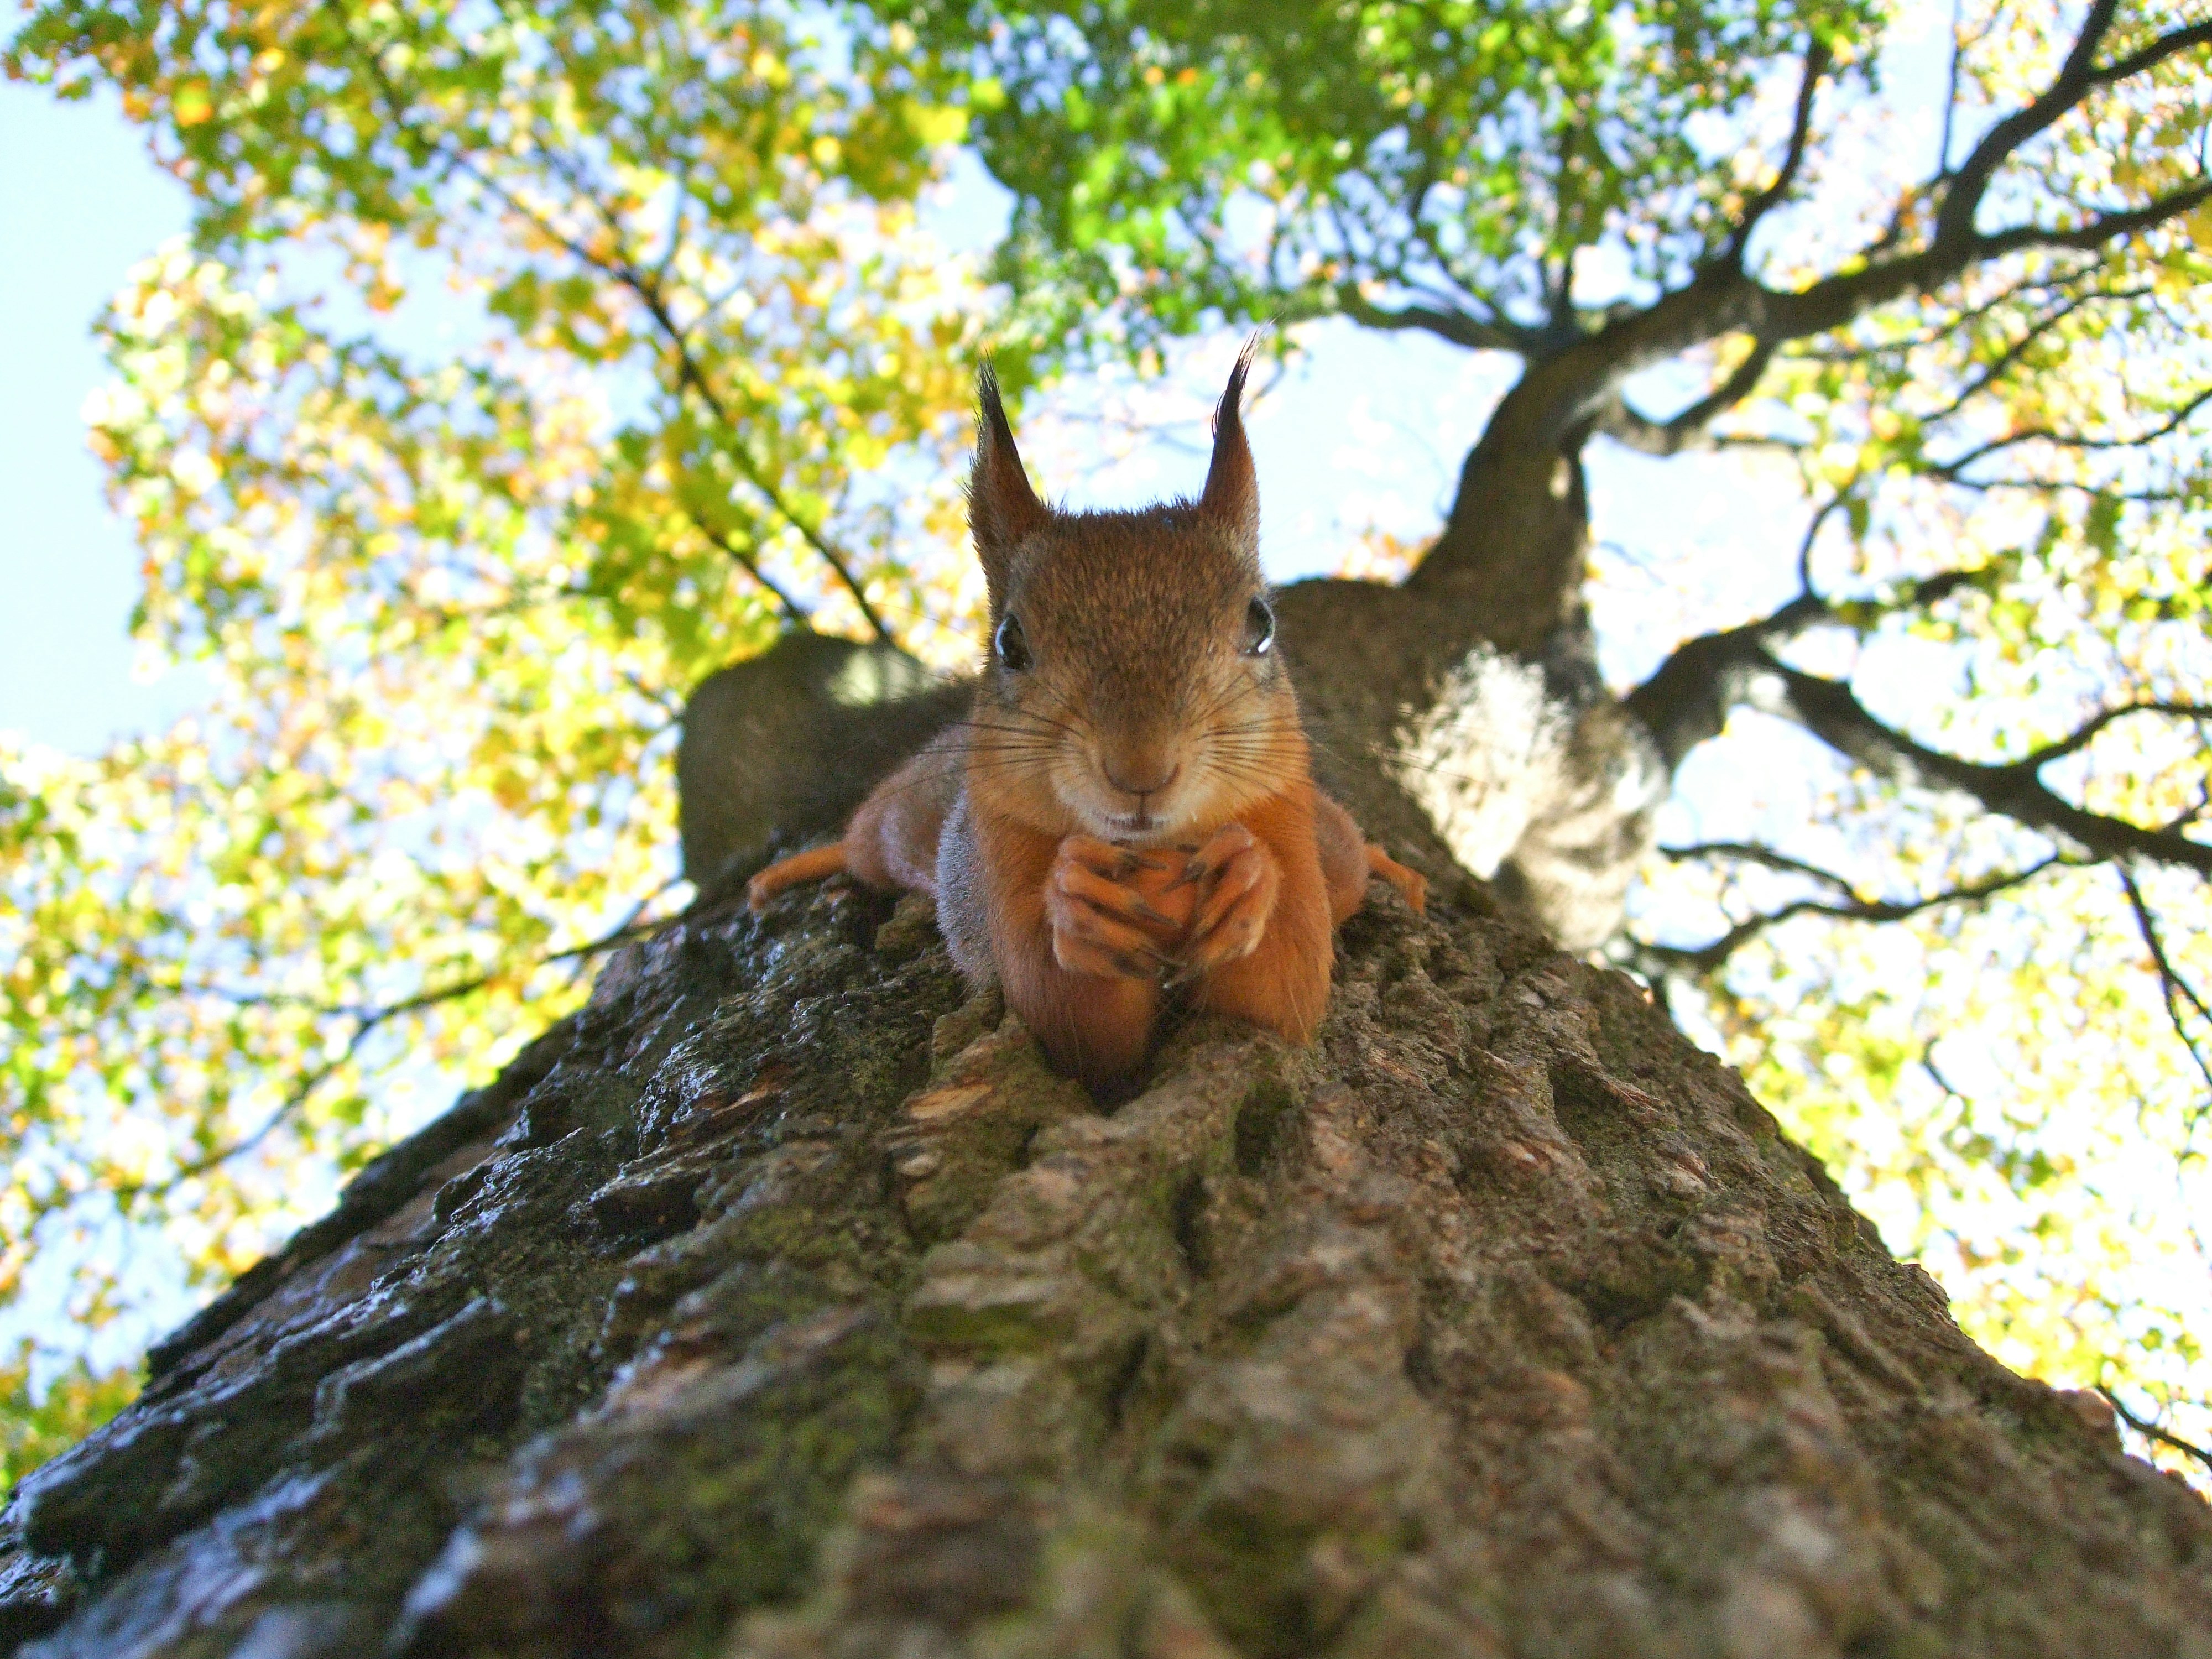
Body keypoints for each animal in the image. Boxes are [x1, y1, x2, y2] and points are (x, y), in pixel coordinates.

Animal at [752, 352, 1425, 1093]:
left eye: (1261, 625)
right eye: (1009, 643)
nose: (1140, 770)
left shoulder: (1285, 819)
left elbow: (1282, 994)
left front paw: (1248, 876)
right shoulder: (1000, 853)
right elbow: (1073, 1021)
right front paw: (1076, 902)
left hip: (1329, 841)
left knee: (1350, 855)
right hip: (902, 824)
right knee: (862, 844)